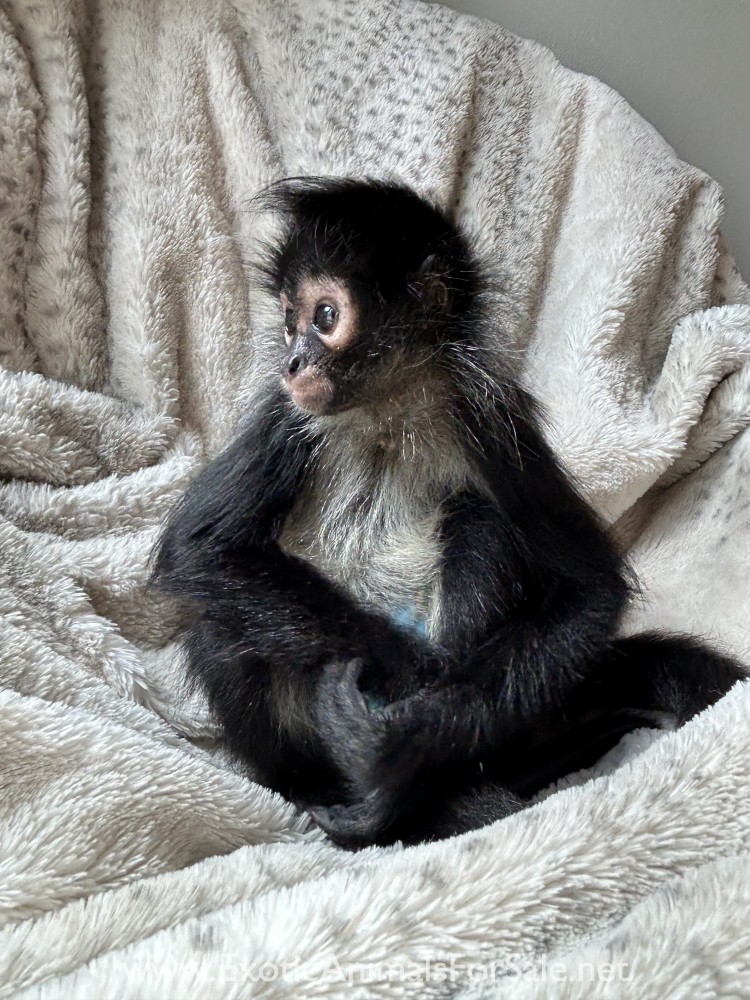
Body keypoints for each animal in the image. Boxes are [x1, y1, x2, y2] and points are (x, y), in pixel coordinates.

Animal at [152, 178, 746, 849]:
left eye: (324, 317)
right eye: (287, 323)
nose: (292, 363)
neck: (385, 413)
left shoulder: (488, 416)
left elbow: (589, 591)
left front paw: (408, 738)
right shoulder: (289, 417)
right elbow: (200, 549)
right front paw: (406, 675)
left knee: (476, 516)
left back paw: (416, 793)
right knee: (221, 624)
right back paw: (342, 798)